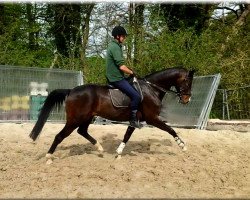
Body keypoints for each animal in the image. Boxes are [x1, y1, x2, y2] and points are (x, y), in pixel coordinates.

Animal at [29, 67, 195, 164]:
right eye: (187, 81)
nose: (187, 99)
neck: (151, 88)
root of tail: (71, 91)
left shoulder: (135, 120)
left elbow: (127, 135)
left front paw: (119, 153)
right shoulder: (152, 118)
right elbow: (170, 129)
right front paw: (182, 145)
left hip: (87, 117)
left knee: (82, 131)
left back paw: (99, 148)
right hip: (75, 119)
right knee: (60, 136)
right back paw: (49, 157)